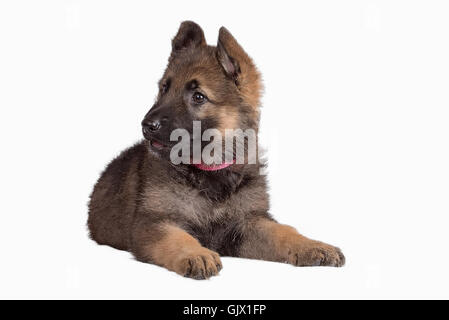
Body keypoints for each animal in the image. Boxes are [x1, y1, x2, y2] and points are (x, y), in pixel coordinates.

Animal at [87, 21, 344, 278]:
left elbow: (283, 231)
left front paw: (311, 245)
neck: (210, 171)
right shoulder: (153, 223)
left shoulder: (247, 223)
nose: (146, 125)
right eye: (164, 89)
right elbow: (177, 238)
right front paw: (195, 254)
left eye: (198, 96)